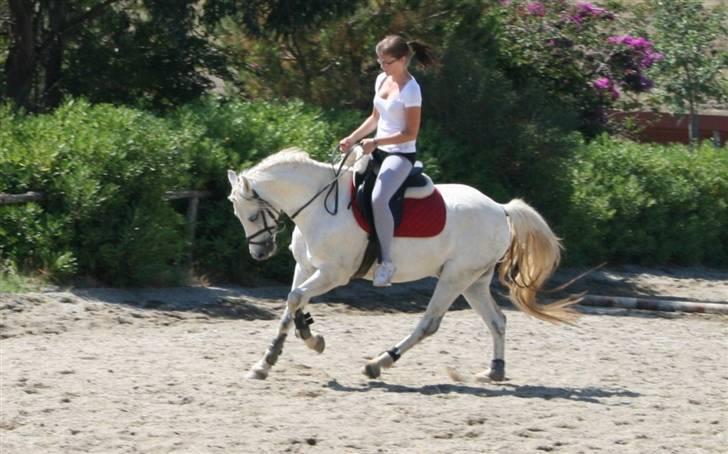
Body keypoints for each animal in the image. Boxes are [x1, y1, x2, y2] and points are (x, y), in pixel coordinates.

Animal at [227, 146, 578, 381]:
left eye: (253, 215)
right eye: (238, 215)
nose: (260, 252)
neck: (318, 206)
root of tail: (500, 208)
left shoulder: (333, 273)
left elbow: (296, 298)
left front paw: (307, 341)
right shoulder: (306, 267)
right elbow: (292, 304)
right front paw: (269, 360)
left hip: (454, 278)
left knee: (429, 324)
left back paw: (379, 362)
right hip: (474, 282)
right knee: (497, 321)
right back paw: (494, 371)